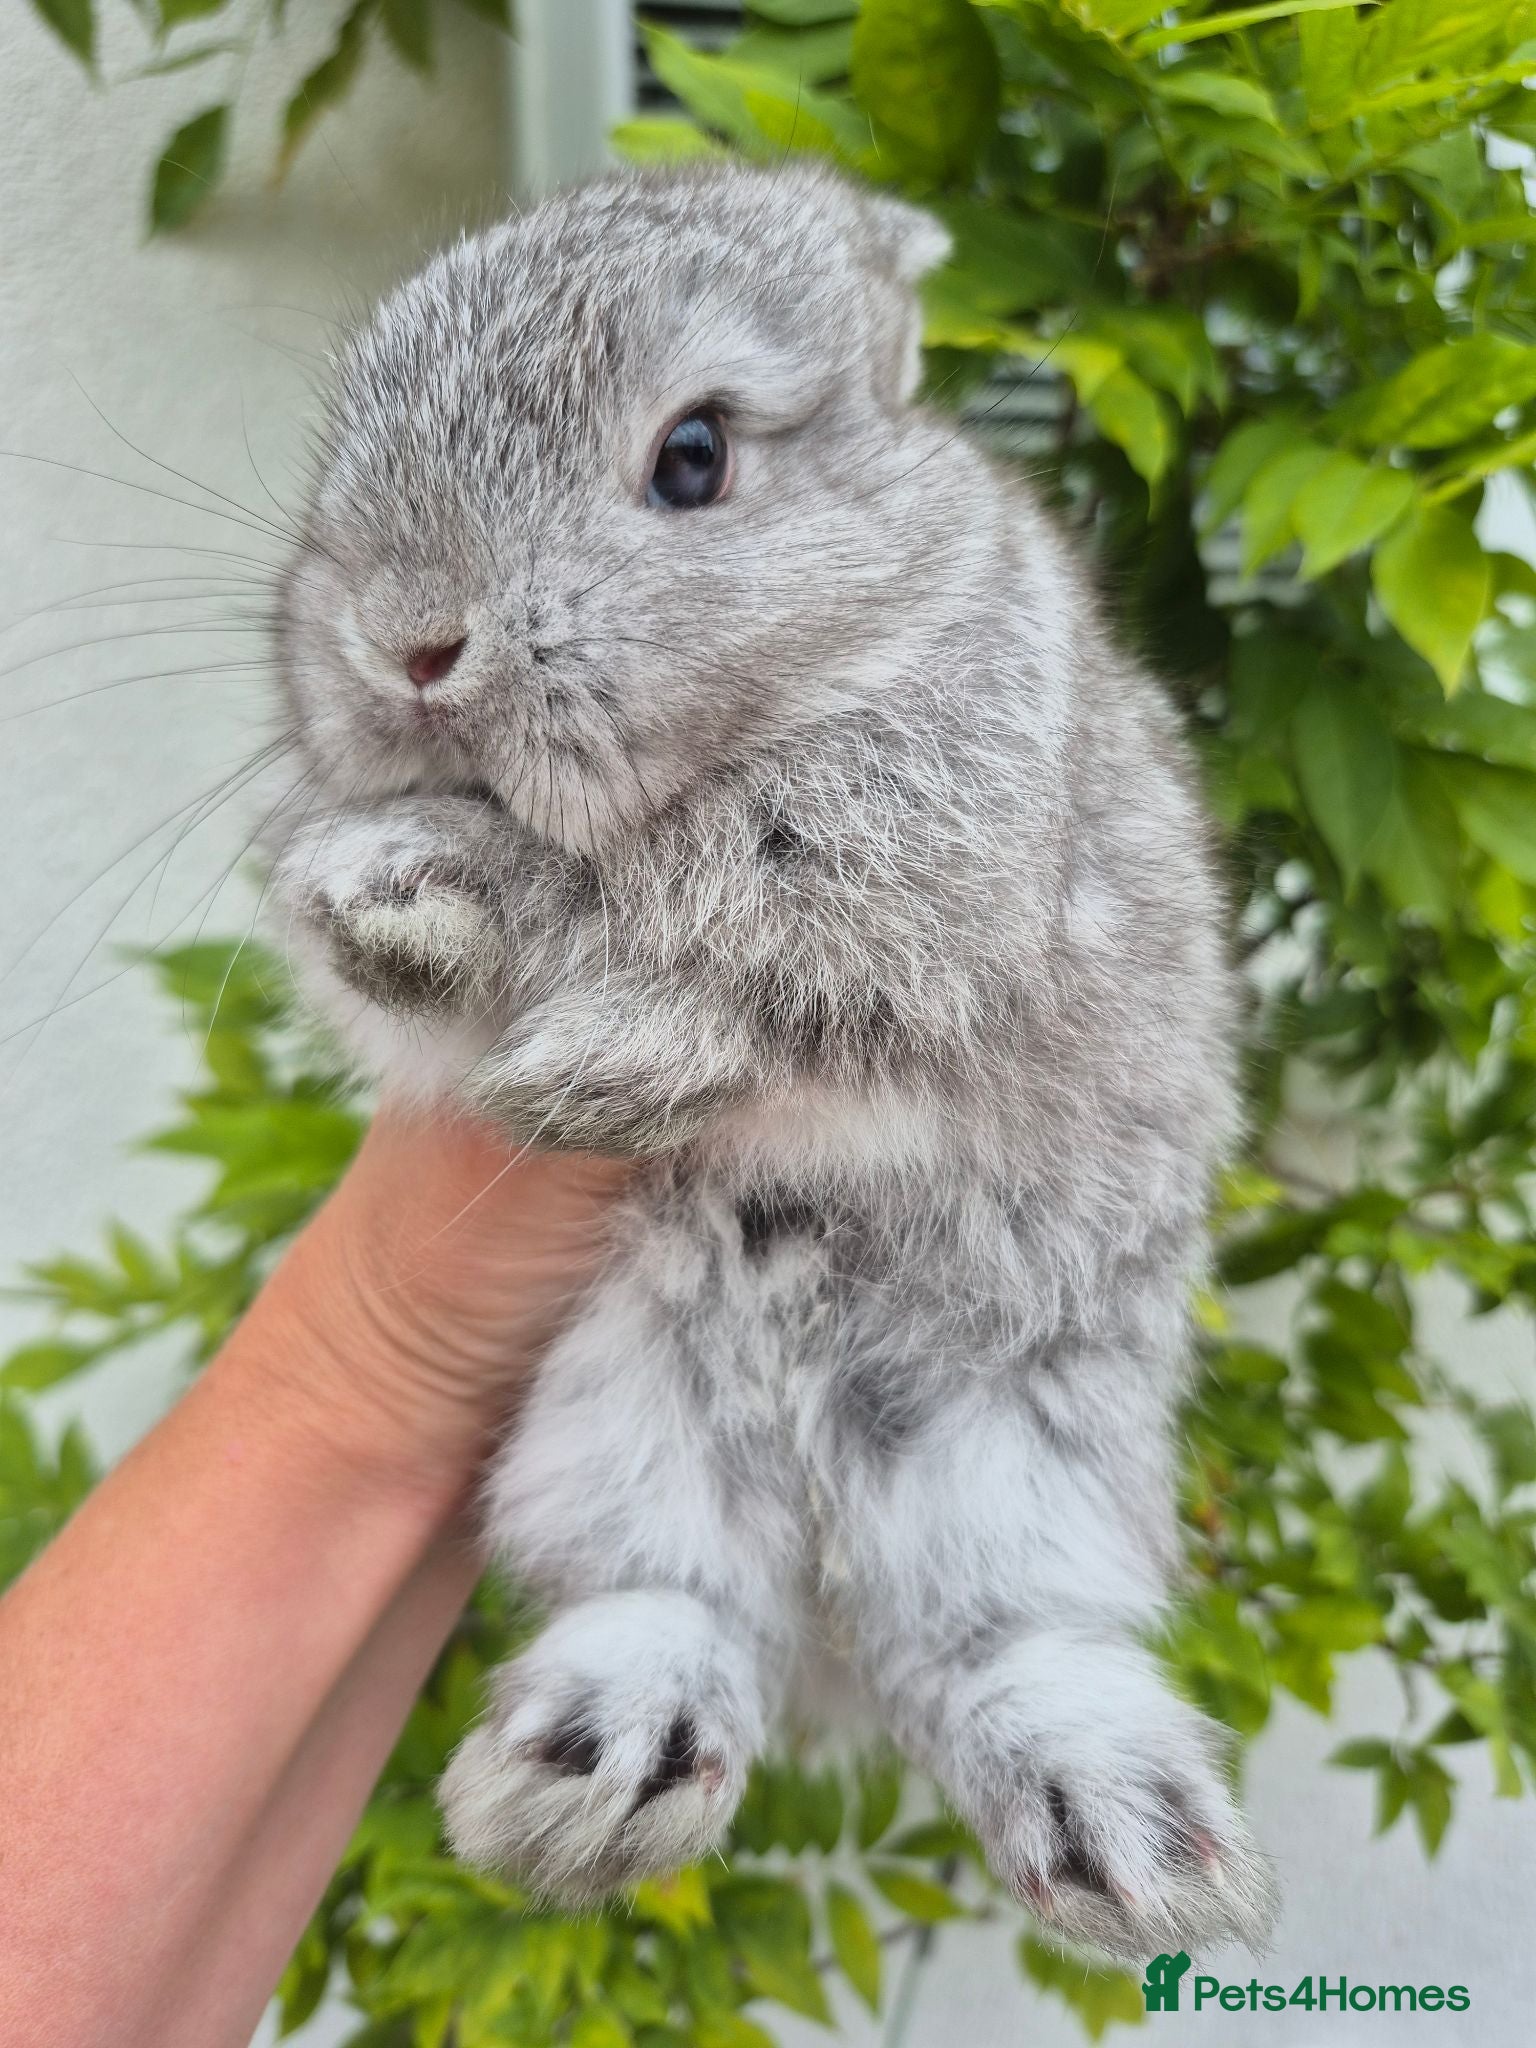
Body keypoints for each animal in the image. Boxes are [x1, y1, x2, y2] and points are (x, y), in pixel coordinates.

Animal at [269, 159, 1276, 1964]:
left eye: (694, 457)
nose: (406, 644)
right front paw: (384, 893)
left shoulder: (918, 869)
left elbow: (758, 969)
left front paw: (609, 1052)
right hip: (626, 1414)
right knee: (675, 1590)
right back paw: (592, 1780)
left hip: (1027, 1439)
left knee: (995, 1641)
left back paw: (1128, 1840)